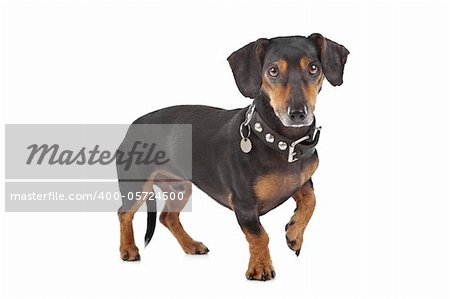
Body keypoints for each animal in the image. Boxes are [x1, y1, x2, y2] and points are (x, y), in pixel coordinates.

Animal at [116, 34, 348, 282]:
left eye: (314, 68)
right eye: (273, 71)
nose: (297, 114)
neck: (282, 142)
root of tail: (132, 126)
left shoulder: (304, 182)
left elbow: (311, 202)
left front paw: (294, 233)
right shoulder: (244, 203)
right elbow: (260, 235)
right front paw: (260, 267)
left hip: (181, 187)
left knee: (167, 217)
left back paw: (191, 245)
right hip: (137, 185)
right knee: (124, 213)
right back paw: (128, 249)